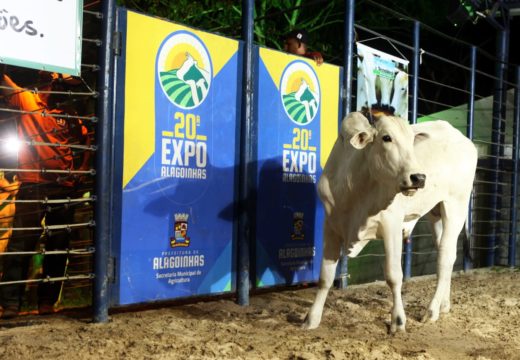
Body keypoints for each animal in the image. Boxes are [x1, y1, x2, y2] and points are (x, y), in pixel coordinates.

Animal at [302, 112, 478, 332]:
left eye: (411, 140)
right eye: (386, 138)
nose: (419, 177)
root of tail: (464, 139)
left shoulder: (391, 224)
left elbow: (394, 275)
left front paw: (398, 320)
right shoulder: (331, 225)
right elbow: (325, 276)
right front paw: (311, 319)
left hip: (455, 206)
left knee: (446, 256)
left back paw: (432, 311)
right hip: (435, 213)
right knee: (445, 254)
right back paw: (444, 304)